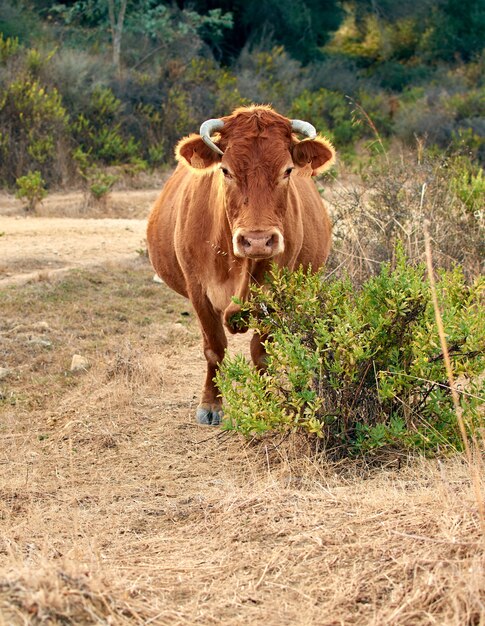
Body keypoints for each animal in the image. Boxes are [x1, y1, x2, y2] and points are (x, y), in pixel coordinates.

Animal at [147, 103, 334, 424]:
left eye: (287, 170)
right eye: (226, 170)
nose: (257, 241)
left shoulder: (275, 297)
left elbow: (262, 352)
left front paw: (267, 402)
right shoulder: (198, 292)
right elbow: (214, 348)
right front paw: (211, 404)